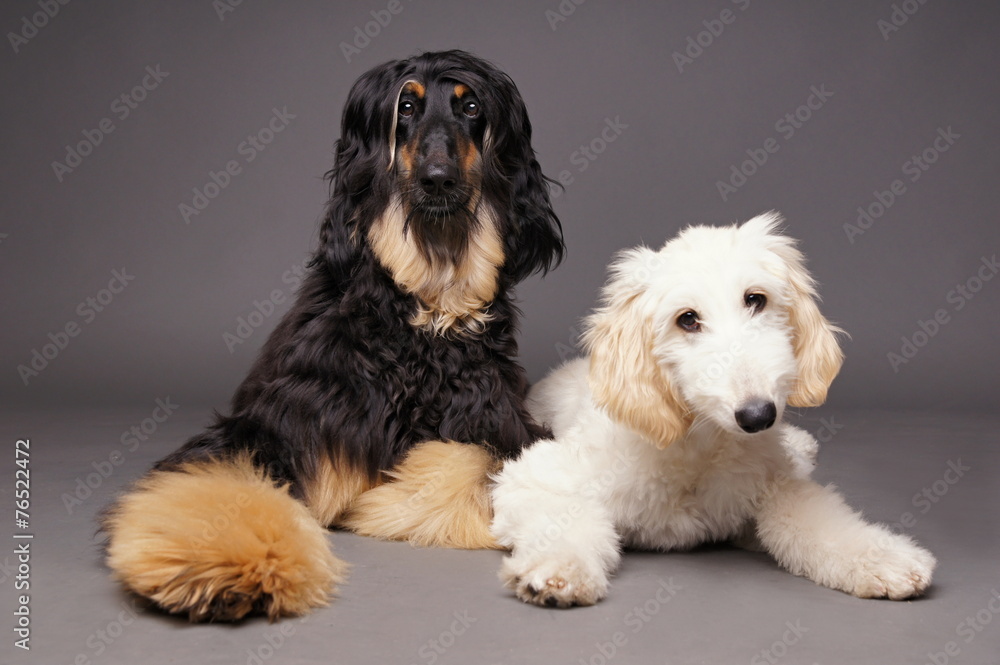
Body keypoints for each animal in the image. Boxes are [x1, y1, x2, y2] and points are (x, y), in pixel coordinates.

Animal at [101, 49, 564, 620]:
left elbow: (474, 461)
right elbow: (221, 484)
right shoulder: (273, 427)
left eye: (471, 106)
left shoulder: (499, 418)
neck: (426, 313)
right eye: (406, 107)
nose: (437, 180)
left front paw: (386, 502)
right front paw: (231, 568)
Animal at [492, 213, 936, 608]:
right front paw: (557, 571)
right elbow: (565, 515)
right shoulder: (533, 476)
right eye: (687, 319)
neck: (698, 449)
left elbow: (815, 518)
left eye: (755, 299)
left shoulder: (774, 488)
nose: (759, 416)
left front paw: (882, 558)